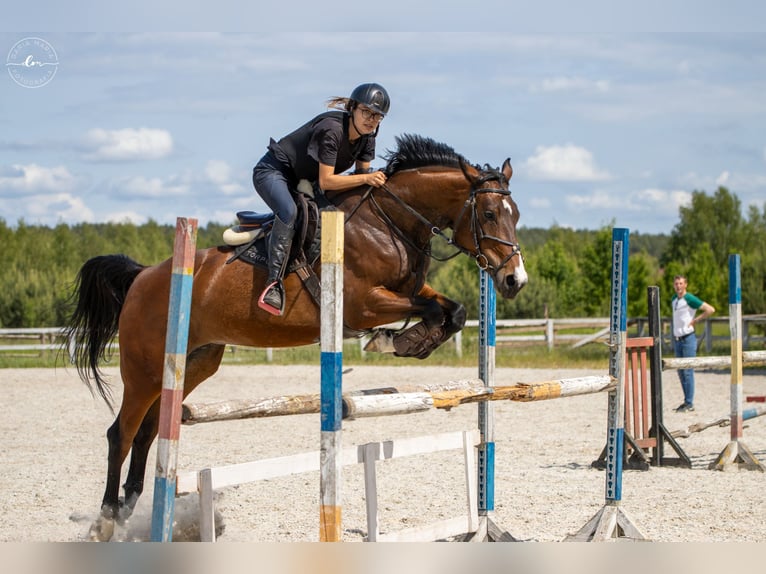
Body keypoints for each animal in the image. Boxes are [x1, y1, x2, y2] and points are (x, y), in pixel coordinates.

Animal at [65, 133, 528, 541]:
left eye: (516, 214)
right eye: (489, 214)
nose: (514, 280)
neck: (389, 223)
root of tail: (143, 275)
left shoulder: (410, 292)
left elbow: (453, 310)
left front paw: (410, 341)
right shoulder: (363, 304)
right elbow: (429, 311)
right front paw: (396, 340)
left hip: (193, 362)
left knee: (147, 433)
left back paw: (129, 512)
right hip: (142, 369)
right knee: (121, 435)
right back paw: (105, 522)